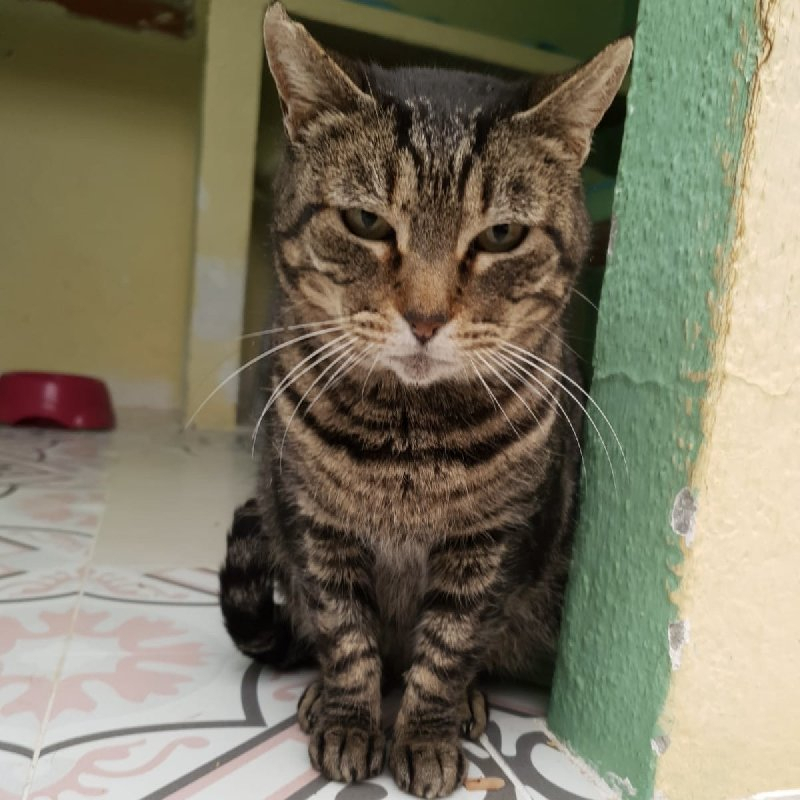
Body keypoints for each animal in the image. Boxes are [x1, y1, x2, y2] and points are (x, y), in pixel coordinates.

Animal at [219, 4, 631, 797]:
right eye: (366, 223)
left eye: (502, 234)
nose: (426, 317)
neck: (408, 438)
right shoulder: (317, 527)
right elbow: (345, 635)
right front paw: (349, 720)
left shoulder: (490, 544)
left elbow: (447, 649)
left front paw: (427, 733)